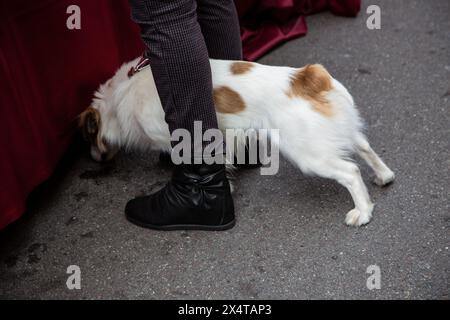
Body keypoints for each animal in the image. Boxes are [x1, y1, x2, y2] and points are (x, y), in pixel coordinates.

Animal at [80, 58, 394, 228]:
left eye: (88, 137)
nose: (93, 157)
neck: (124, 93)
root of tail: (305, 76)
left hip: (308, 153)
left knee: (350, 172)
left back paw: (363, 211)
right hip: (334, 133)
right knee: (364, 148)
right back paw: (383, 176)